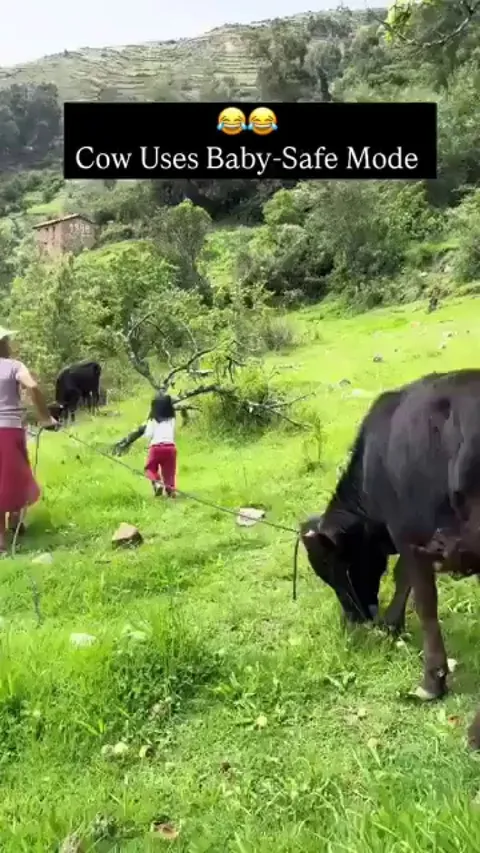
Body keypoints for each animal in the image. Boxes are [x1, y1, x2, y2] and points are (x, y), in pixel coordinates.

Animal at [301, 369, 480, 749]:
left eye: (335, 568)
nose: (354, 619)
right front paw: (391, 624)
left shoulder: (410, 535)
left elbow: (421, 599)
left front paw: (431, 681)